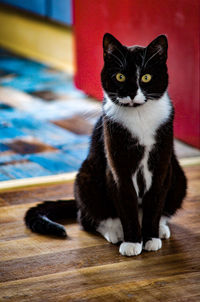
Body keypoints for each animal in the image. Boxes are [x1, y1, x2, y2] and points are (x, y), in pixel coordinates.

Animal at [24, 33, 186, 258]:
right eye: (120, 77)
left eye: (146, 77)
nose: (132, 94)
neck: (139, 116)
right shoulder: (117, 169)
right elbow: (126, 205)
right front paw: (132, 242)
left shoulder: (162, 165)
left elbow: (154, 203)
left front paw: (150, 238)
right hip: (86, 176)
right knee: (87, 218)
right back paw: (115, 232)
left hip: (178, 175)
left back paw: (161, 229)